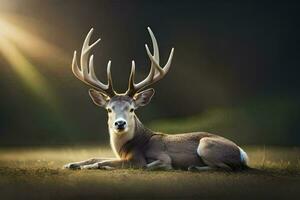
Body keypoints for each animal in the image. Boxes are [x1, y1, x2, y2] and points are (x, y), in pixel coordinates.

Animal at [63, 27, 248, 171]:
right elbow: (95, 157)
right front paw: (71, 164)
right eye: (109, 109)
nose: (120, 123)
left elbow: (135, 164)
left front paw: (96, 166)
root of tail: (242, 153)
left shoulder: (152, 157)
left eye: (132, 109)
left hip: (205, 145)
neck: (127, 148)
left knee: (227, 168)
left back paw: (194, 167)